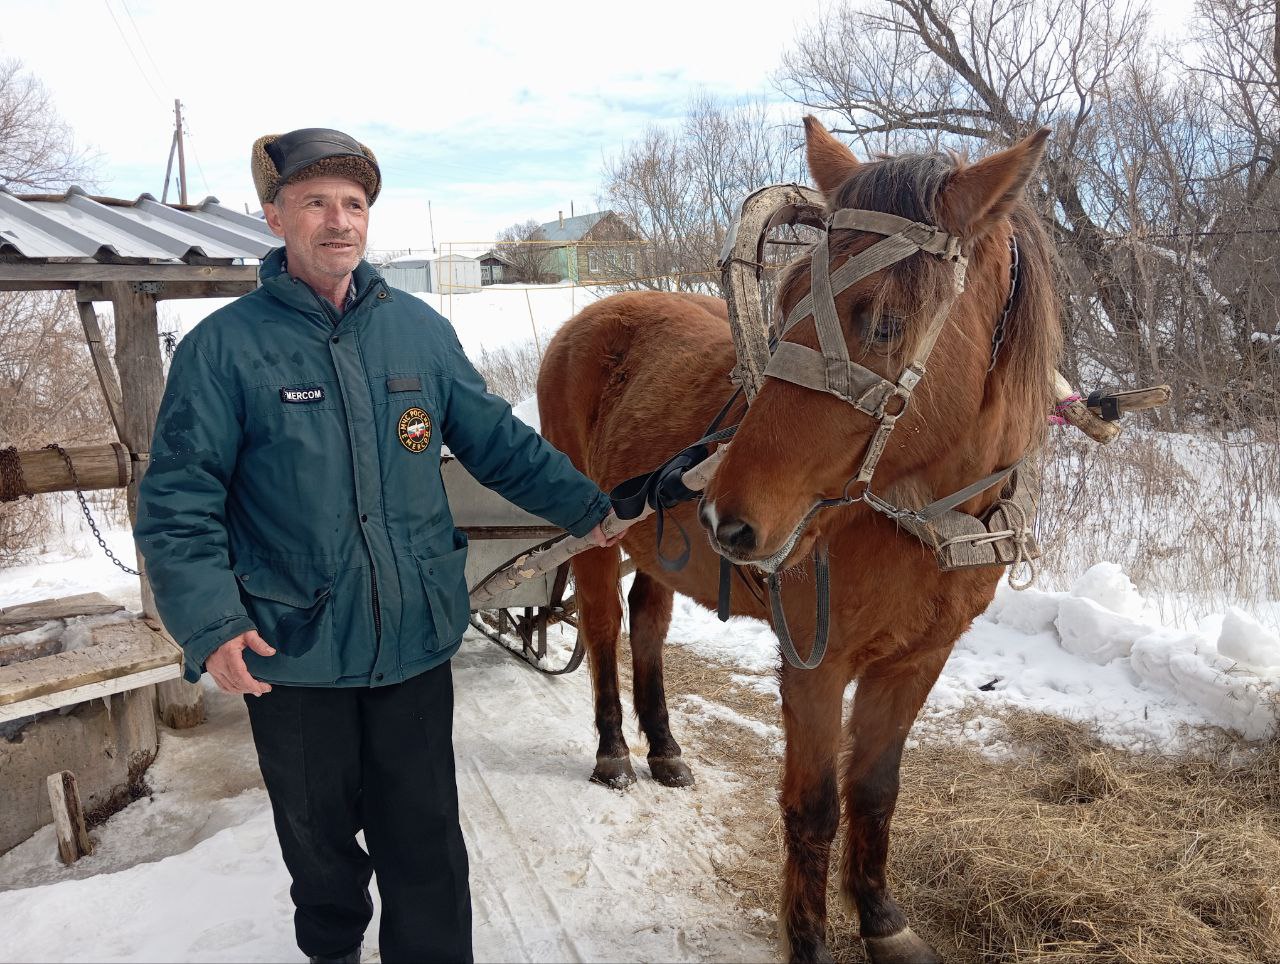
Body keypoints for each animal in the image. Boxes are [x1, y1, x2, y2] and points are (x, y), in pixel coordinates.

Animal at [537, 122, 1059, 962]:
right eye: (782, 304)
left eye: (884, 321)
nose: (728, 516)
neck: (915, 517)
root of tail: (592, 314)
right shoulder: (818, 664)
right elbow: (814, 806)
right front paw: (810, 938)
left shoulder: (918, 660)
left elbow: (875, 791)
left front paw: (881, 916)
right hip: (593, 537)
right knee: (604, 626)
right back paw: (615, 749)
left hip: (653, 543)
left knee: (647, 624)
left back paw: (663, 747)